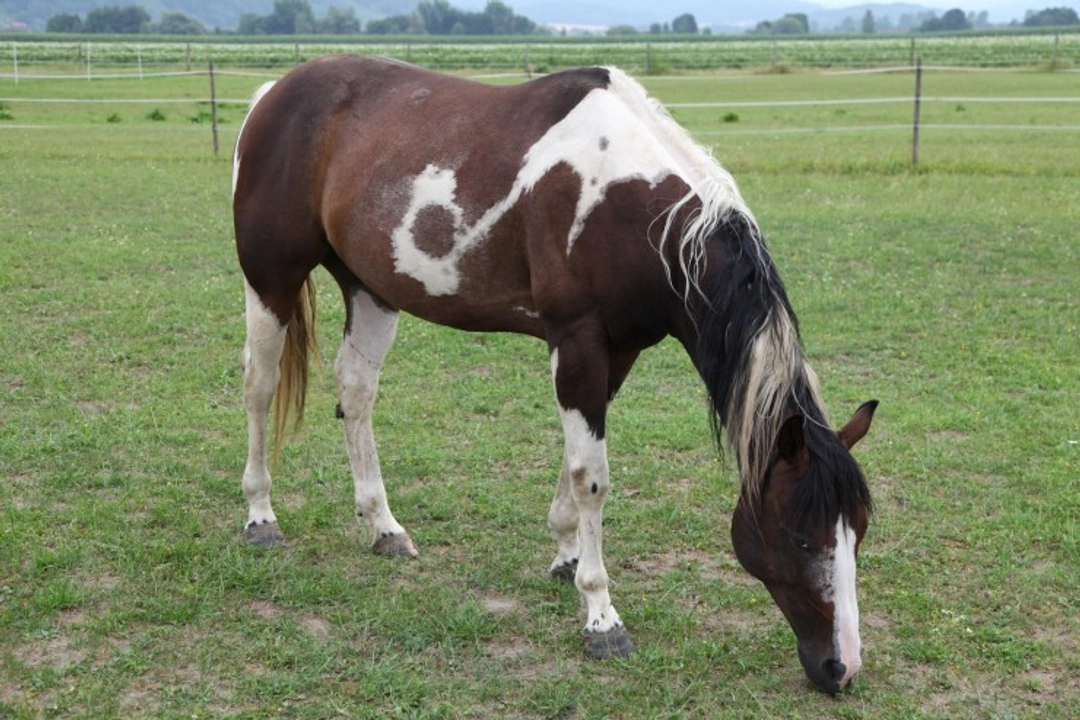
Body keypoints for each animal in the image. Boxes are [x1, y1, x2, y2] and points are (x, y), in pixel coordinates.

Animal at [231, 55, 877, 695]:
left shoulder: (618, 352)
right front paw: (601, 616)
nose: (842, 667)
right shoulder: (578, 342)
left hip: (371, 289)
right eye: (800, 536)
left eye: (859, 531)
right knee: (259, 387)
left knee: (356, 393)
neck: (636, 212)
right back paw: (260, 515)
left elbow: (574, 467)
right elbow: (592, 476)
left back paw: (384, 527)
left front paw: (567, 555)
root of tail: (273, 93)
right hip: (271, 281)